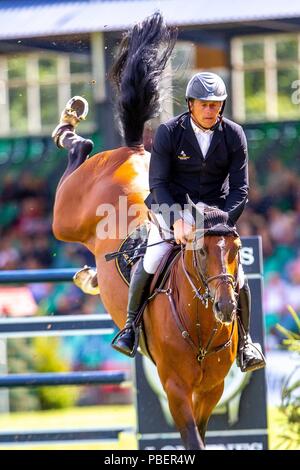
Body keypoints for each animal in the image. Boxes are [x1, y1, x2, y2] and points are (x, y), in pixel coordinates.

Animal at [51, 12, 239, 450]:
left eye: (237, 250)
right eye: (201, 252)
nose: (226, 308)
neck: (201, 327)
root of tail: (134, 150)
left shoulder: (212, 391)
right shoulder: (175, 390)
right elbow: (192, 440)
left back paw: (87, 277)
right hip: (64, 216)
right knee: (78, 152)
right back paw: (69, 123)